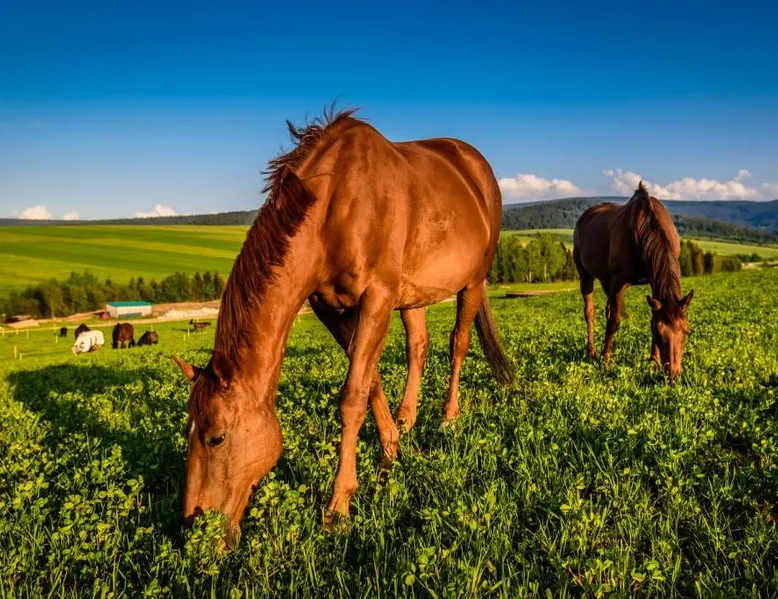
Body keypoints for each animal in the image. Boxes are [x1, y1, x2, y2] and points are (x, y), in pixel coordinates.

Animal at [172, 107, 513, 545]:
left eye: (217, 437)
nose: (193, 527)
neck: (336, 204)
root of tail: (475, 165)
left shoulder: (377, 298)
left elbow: (352, 397)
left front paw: (339, 505)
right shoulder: (330, 308)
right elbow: (370, 381)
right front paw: (391, 450)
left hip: (472, 281)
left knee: (458, 343)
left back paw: (448, 417)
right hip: (413, 295)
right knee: (418, 346)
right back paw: (408, 418)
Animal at [573, 182, 694, 379]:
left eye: (686, 331)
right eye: (659, 333)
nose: (673, 374)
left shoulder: (652, 280)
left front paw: (653, 361)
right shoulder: (619, 281)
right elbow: (614, 321)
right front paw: (605, 358)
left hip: (606, 281)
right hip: (585, 273)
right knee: (589, 311)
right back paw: (591, 351)